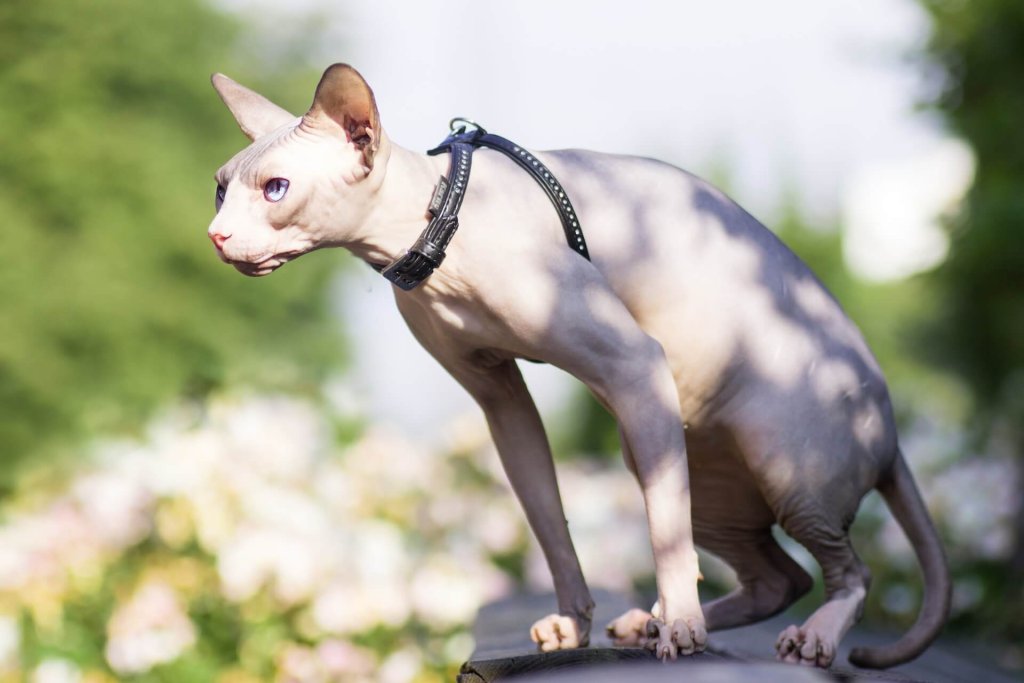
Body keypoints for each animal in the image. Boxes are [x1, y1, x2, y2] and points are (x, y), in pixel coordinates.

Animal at [205, 63, 950, 667]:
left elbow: (663, 534)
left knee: (847, 572)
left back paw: (791, 633)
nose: (215, 235)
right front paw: (577, 622)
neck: (439, 223)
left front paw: (678, 624)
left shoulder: (635, 364)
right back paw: (649, 624)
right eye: (220, 189)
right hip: (686, 462)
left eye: (276, 188)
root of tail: (890, 426)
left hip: (777, 458)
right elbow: (546, 516)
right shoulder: (499, 398)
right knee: (777, 578)